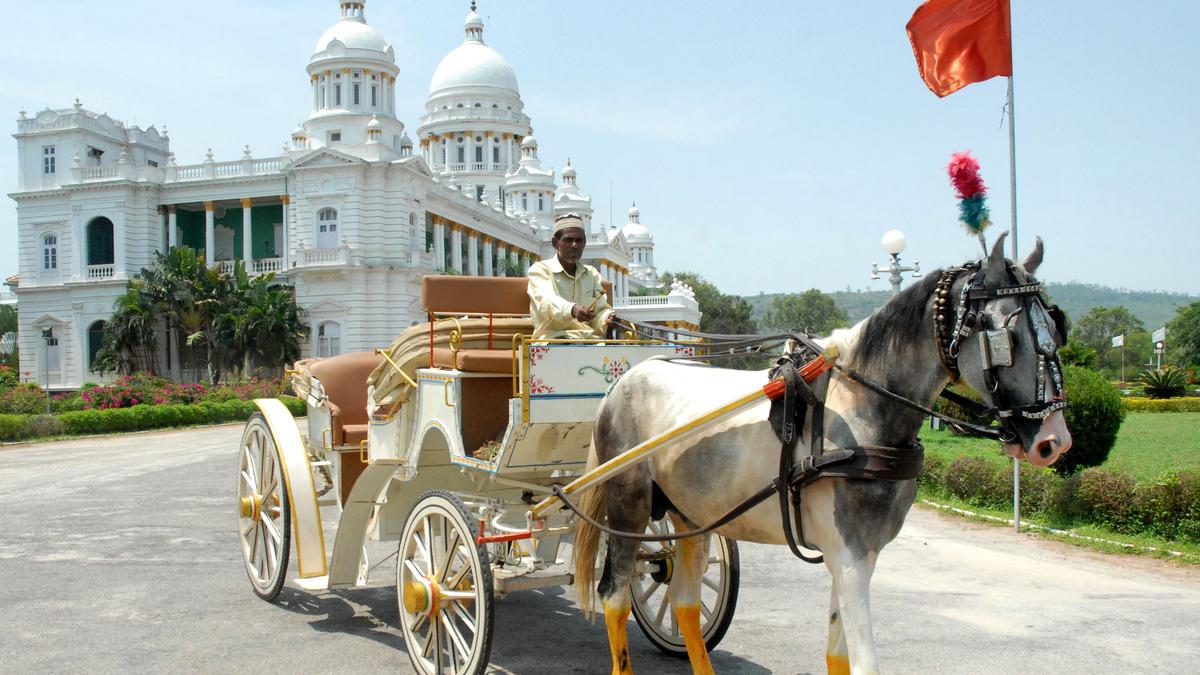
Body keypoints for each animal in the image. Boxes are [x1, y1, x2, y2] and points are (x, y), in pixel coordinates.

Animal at [576, 233, 1075, 672]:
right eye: (1004, 337)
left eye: (1057, 327)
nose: (1055, 441)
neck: (858, 407)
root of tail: (625, 379)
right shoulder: (849, 553)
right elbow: (865, 662)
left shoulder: (858, 553)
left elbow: (838, 654)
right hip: (628, 503)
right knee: (615, 595)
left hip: (691, 515)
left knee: (683, 602)